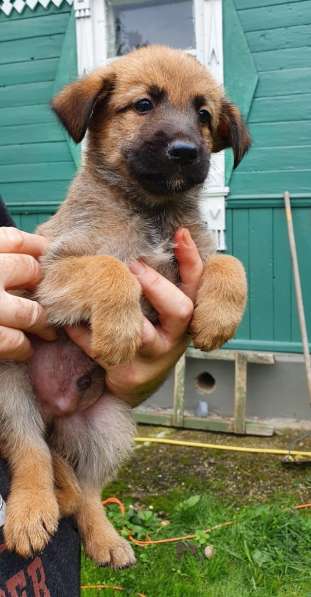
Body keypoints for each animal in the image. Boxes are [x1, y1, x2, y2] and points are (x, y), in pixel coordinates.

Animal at [0, 45, 249, 564]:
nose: (185, 152)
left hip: (107, 423)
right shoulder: (51, 272)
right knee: (31, 451)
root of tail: (52, 414)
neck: (150, 210)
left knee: (87, 487)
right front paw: (119, 331)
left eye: (203, 115)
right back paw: (32, 512)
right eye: (143, 105)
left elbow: (229, 262)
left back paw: (104, 536)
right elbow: (111, 269)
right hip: (9, 388)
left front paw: (217, 320)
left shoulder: (192, 261)